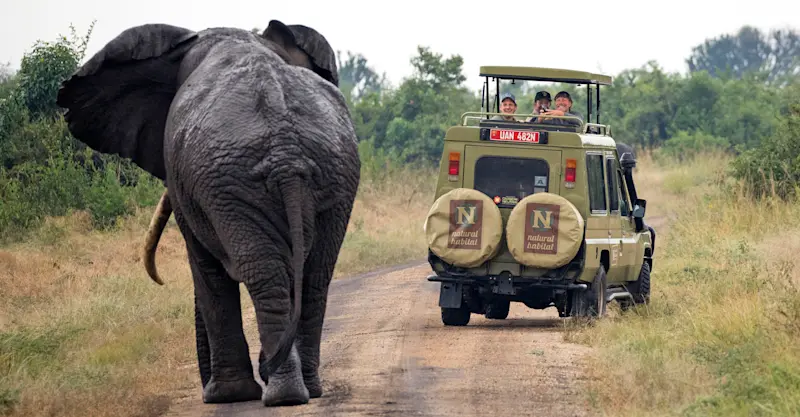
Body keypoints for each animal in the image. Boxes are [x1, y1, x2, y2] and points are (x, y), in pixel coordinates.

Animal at [55, 20, 361, 407]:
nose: (205, 387)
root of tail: (286, 150)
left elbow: (205, 270)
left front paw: (224, 396)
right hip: (331, 173)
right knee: (315, 275)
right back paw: (307, 389)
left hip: (229, 183)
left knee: (262, 274)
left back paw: (281, 396)